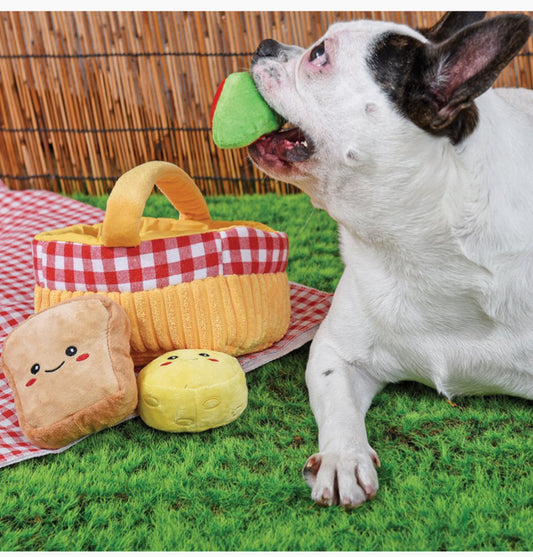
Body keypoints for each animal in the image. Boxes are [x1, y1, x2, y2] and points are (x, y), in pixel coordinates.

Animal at [248, 11, 532, 508]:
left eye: (319, 54)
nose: (267, 44)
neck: (419, 243)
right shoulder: (334, 351)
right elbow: (338, 405)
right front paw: (343, 458)